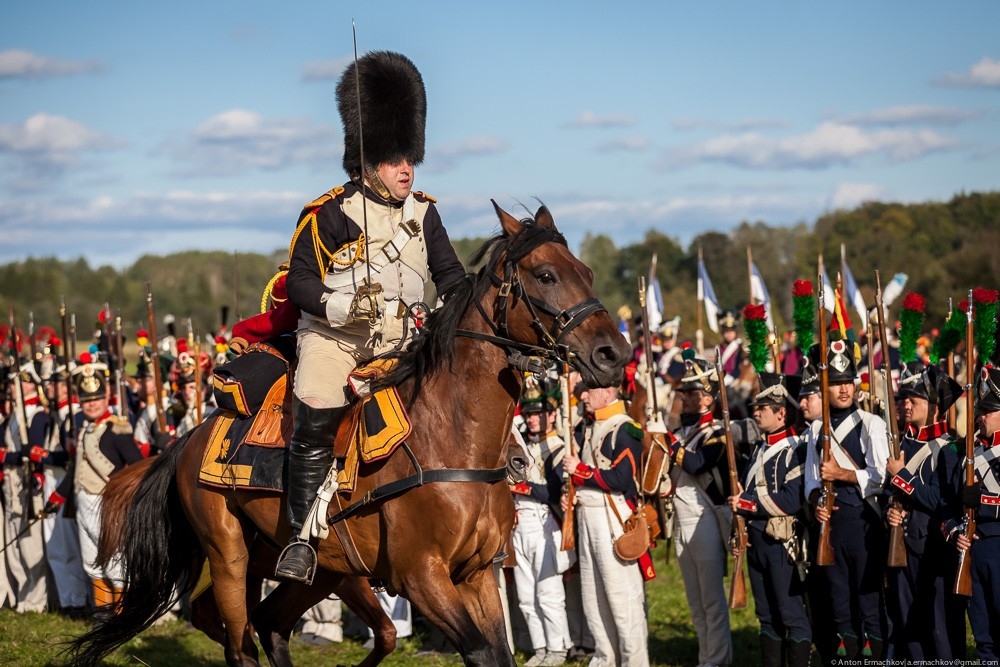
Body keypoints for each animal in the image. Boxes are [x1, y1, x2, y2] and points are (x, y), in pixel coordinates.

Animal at [66, 204, 628, 667]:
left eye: (587, 272)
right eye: (546, 274)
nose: (612, 354)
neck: (453, 438)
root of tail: (192, 438)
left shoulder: (476, 575)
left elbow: (490, 652)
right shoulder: (422, 578)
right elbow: (480, 652)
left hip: (311, 567)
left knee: (266, 624)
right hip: (230, 556)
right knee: (241, 642)